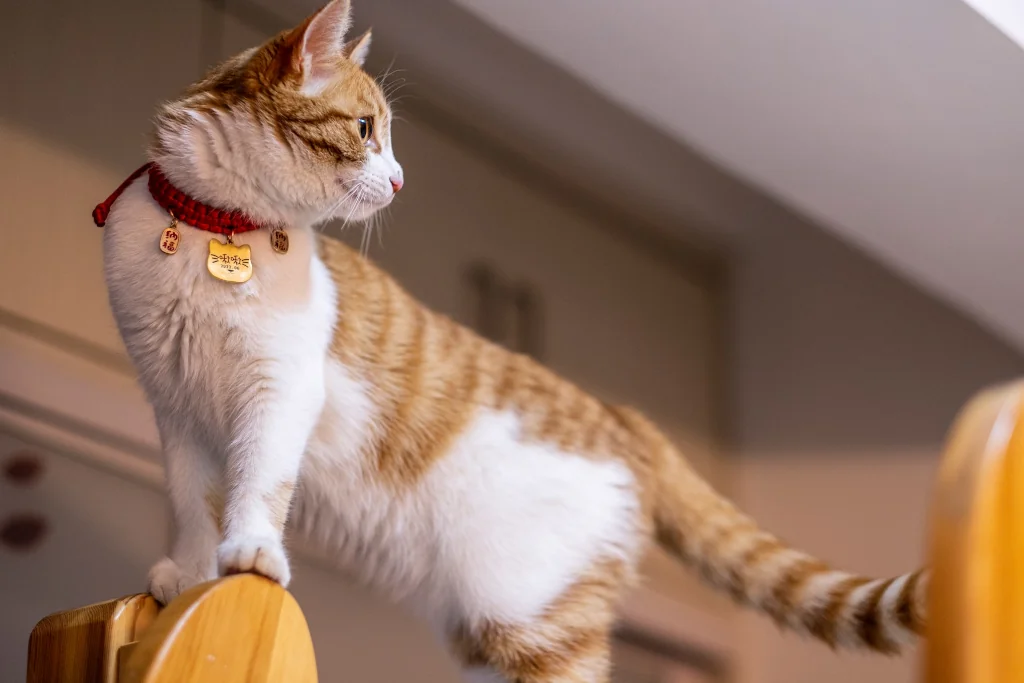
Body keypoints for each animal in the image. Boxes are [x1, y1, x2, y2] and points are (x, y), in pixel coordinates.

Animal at [97, 2, 929, 679]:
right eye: (366, 130)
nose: (399, 180)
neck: (214, 229)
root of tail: (626, 416)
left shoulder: (277, 391)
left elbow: (260, 482)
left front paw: (251, 556)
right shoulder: (177, 406)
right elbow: (193, 501)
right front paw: (189, 573)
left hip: (536, 618)